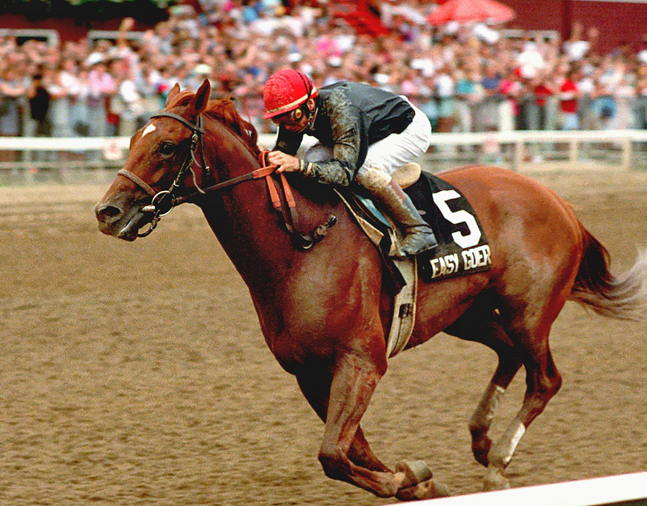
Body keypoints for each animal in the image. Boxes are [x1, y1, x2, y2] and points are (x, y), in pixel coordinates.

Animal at [95, 80, 647, 502]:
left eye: (167, 145)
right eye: (132, 138)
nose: (107, 212)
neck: (300, 244)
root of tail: (559, 200)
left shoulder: (361, 359)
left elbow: (333, 454)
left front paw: (409, 478)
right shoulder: (309, 371)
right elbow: (349, 449)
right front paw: (416, 479)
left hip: (528, 312)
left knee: (545, 378)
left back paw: (498, 460)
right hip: (467, 315)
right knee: (509, 356)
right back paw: (481, 440)